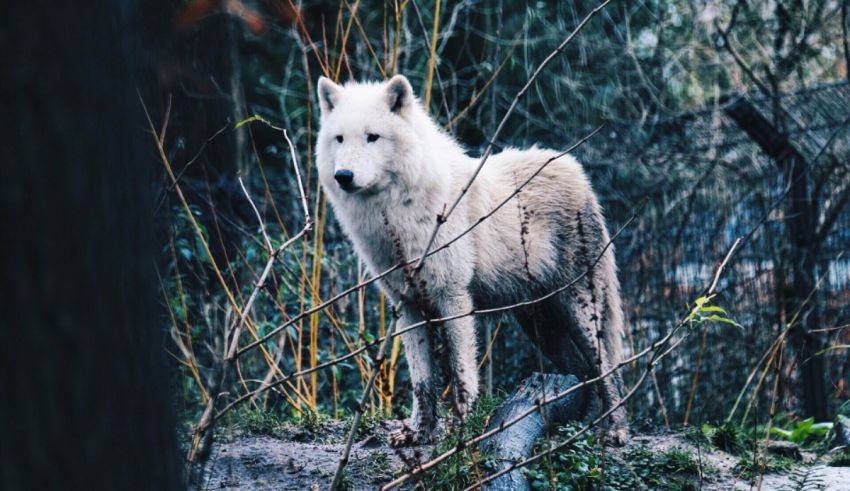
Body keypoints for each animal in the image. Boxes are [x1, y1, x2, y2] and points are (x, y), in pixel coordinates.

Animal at [315, 74, 628, 446]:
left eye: (372, 137)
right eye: (339, 139)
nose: (343, 175)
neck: (396, 219)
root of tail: (578, 173)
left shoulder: (454, 298)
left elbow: (462, 374)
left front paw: (461, 433)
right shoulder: (408, 307)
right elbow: (423, 382)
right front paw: (419, 433)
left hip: (578, 309)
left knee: (608, 368)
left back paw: (614, 430)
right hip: (541, 323)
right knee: (582, 372)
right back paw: (577, 428)